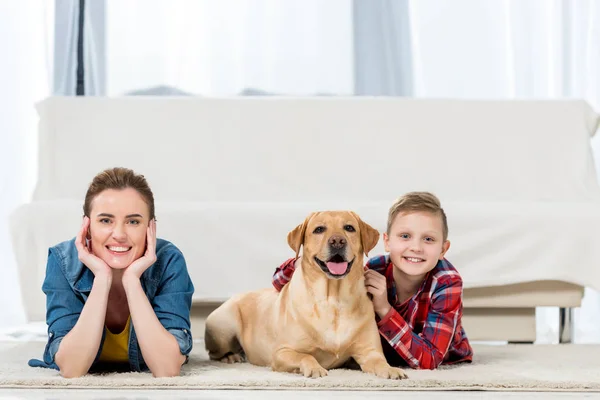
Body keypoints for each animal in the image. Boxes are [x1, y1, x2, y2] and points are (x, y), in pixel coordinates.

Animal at [205, 211, 408, 380]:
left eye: (349, 228)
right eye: (319, 229)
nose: (337, 241)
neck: (333, 299)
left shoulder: (369, 351)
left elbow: (379, 361)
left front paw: (391, 369)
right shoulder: (282, 353)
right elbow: (306, 356)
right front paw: (315, 368)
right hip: (223, 326)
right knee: (213, 352)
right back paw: (231, 356)